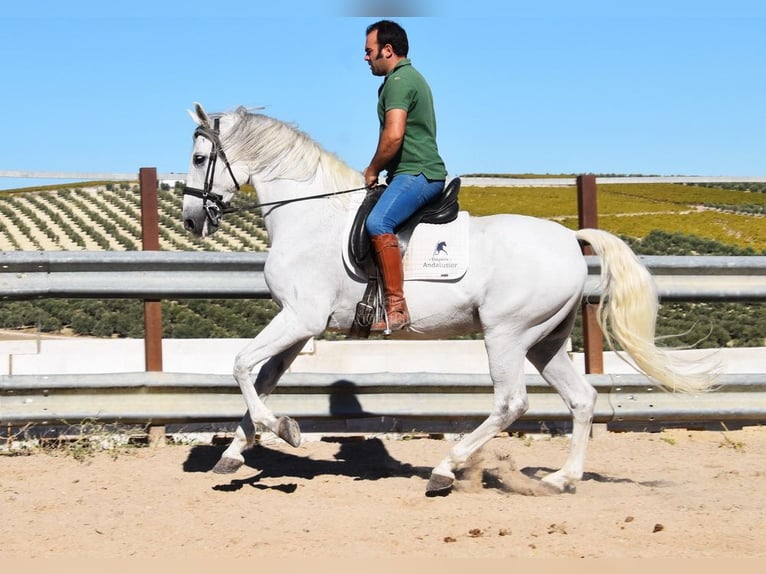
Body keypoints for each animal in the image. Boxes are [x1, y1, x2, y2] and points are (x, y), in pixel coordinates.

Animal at [181, 103, 717, 496]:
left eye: (198, 159)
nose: (191, 220)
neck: (308, 217)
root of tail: (570, 239)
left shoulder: (300, 318)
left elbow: (240, 366)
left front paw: (284, 429)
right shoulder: (299, 326)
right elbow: (261, 380)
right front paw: (234, 454)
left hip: (507, 334)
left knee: (510, 403)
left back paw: (446, 468)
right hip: (546, 341)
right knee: (582, 399)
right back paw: (562, 479)